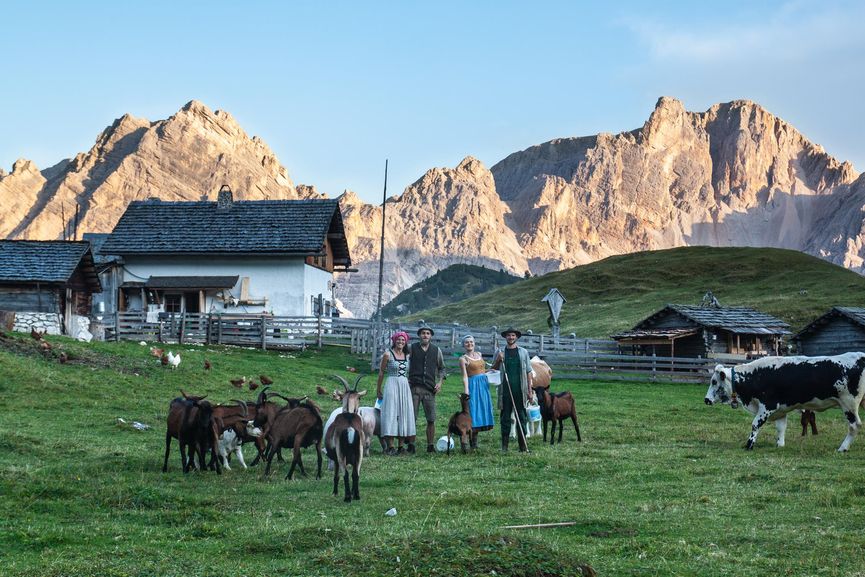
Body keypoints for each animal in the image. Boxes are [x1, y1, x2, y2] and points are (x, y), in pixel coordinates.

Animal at [704, 352, 864, 450]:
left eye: (714, 381)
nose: (706, 400)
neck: (755, 375)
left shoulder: (767, 406)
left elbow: (755, 425)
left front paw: (749, 445)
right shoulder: (781, 410)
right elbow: (781, 428)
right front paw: (779, 445)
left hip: (849, 404)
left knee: (854, 425)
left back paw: (843, 448)